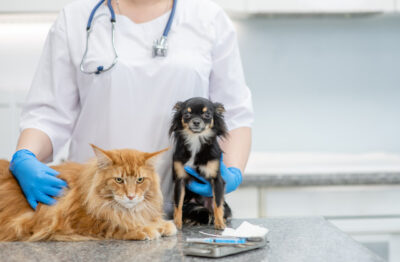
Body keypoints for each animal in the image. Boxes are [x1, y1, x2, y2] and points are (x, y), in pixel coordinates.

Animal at [0, 145, 177, 242]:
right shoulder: (82, 222)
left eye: (140, 180)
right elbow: (117, 225)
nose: (131, 196)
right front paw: (145, 229)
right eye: (119, 180)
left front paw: (162, 224)